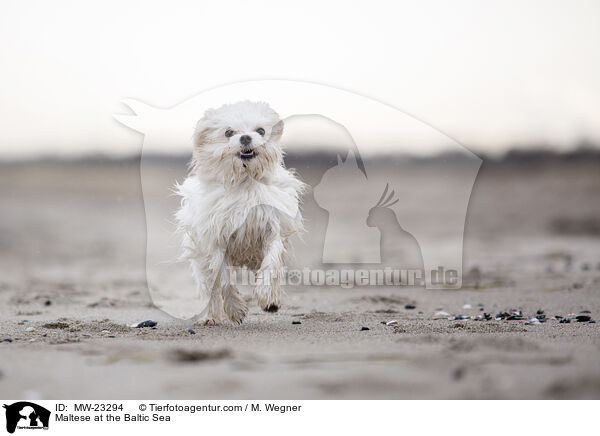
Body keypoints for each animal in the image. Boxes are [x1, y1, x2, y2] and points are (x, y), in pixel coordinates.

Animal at [173, 101, 304, 324]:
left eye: (260, 131)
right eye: (228, 132)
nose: (245, 138)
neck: (245, 180)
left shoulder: (272, 230)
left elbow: (271, 263)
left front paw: (268, 298)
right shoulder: (218, 241)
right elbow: (224, 279)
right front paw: (235, 309)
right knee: (210, 288)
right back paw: (210, 316)